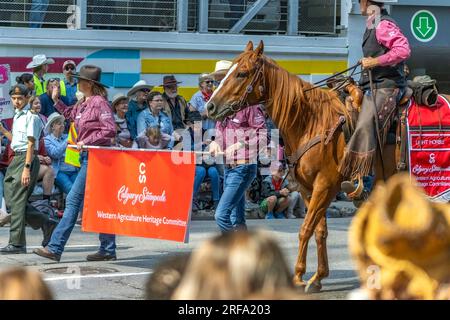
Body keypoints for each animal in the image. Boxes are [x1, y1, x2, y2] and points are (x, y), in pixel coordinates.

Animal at [206, 41, 400, 294]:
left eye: (242, 73)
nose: (210, 106)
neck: (311, 122)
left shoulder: (325, 185)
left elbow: (306, 228)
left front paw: (298, 276)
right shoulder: (308, 188)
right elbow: (319, 230)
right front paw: (315, 277)